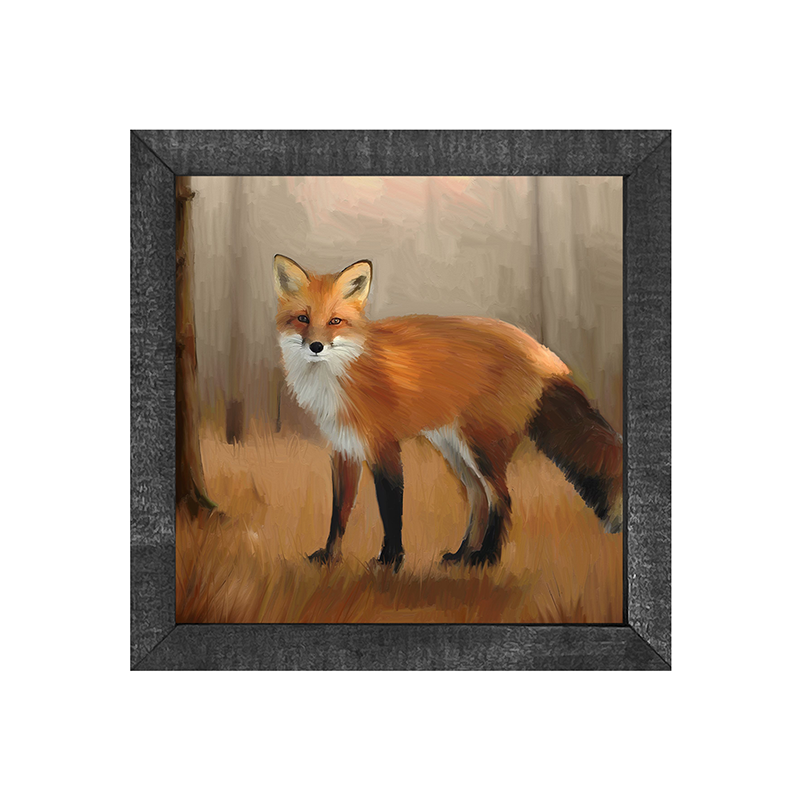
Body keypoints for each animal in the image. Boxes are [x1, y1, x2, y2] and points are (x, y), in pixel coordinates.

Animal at [273, 254, 623, 570]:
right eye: (302, 318)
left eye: (335, 321)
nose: (316, 346)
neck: (341, 374)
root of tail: (541, 351)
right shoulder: (344, 449)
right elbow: (339, 513)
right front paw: (329, 558)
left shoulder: (384, 447)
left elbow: (390, 509)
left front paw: (391, 561)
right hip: (455, 449)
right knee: (479, 498)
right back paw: (462, 554)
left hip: (481, 447)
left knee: (502, 499)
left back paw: (487, 558)